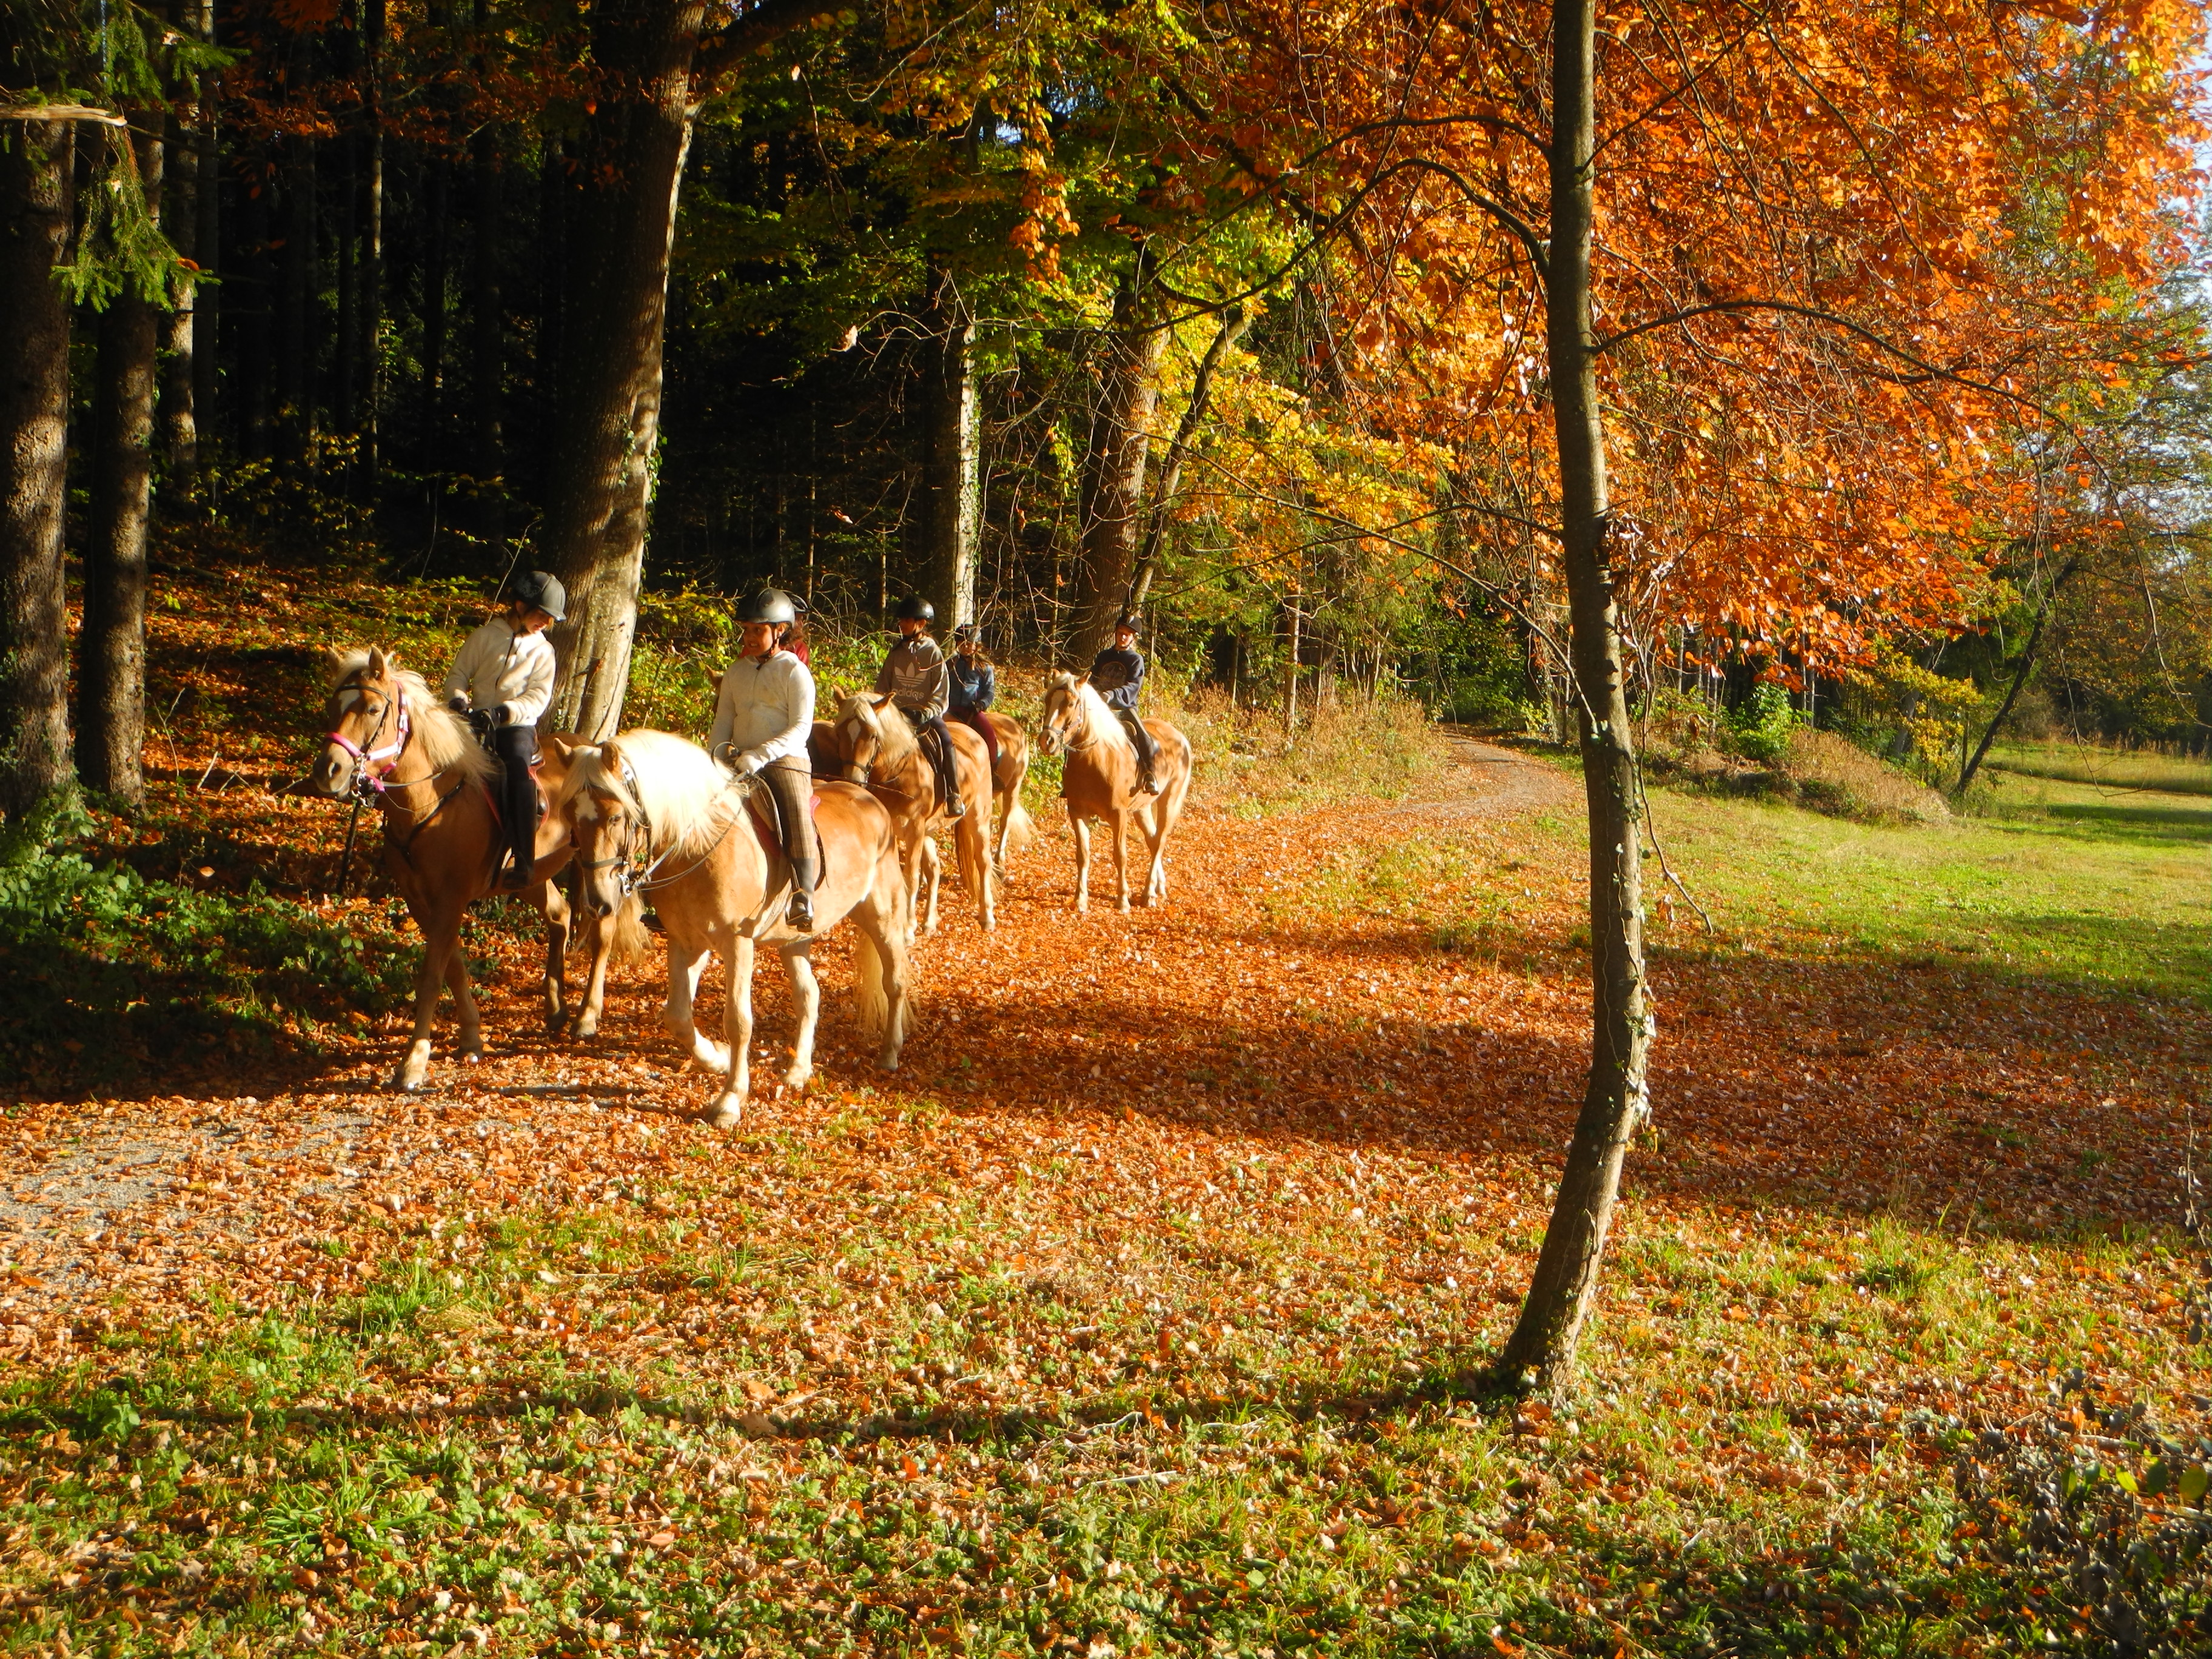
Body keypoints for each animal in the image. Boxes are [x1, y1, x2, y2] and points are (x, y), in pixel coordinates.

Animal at [307, 646, 646, 1093]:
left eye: (373, 708)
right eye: (334, 707)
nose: (328, 770)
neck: (433, 799)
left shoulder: (450, 901)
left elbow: (433, 976)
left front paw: (413, 1063)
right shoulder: (422, 902)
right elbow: (453, 968)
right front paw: (471, 1036)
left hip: (602, 867)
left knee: (602, 929)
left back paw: (587, 1017)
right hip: (532, 876)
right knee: (560, 917)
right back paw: (555, 1008)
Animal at [557, 729, 911, 1132]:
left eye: (617, 816)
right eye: (570, 817)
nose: (598, 902)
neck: (698, 846)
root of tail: (872, 801)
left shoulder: (736, 943)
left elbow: (739, 1021)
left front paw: (730, 1100)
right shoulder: (685, 942)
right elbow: (677, 1016)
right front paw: (716, 1058)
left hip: (882, 917)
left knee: (895, 981)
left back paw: (889, 1053)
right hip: (795, 940)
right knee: (809, 995)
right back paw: (799, 1070)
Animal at [823, 690, 995, 937]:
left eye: (873, 735)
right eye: (839, 733)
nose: (853, 780)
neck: (896, 771)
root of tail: (975, 736)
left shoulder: (914, 829)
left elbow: (910, 879)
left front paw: (906, 929)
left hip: (978, 818)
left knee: (983, 861)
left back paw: (987, 916)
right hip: (928, 831)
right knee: (934, 870)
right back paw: (929, 922)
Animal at [1035, 668, 1194, 916]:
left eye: (1071, 703)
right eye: (1048, 700)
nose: (1047, 741)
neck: (1096, 759)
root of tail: (1181, 739)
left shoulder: (1119, 815)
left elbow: (1120, 856)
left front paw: (1122, 900)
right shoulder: (1078, 812)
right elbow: (1083, 855)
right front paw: (1080, 900)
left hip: (1170, 801)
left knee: (1159, 842)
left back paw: (1148, 894)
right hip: (1142, 808)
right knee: (1152, 841)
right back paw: (1157, 888)